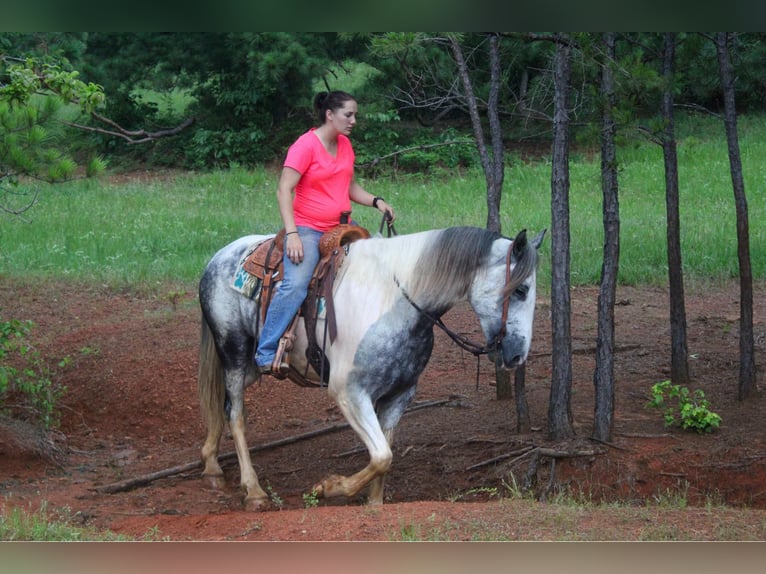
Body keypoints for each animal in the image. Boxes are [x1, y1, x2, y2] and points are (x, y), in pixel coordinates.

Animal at [197, 225, 545, 509]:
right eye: (520, 289)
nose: (518, 355)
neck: (395, 302)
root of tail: (218, 257)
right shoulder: (350, 393)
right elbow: (381, 456)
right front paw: (329, 487)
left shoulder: (399, 395)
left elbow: (385, 456)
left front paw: (372, 504)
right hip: (234, 352)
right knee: (236, 414)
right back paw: (253, 490)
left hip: (249, 366)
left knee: (221, 403)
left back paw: (211, 464)